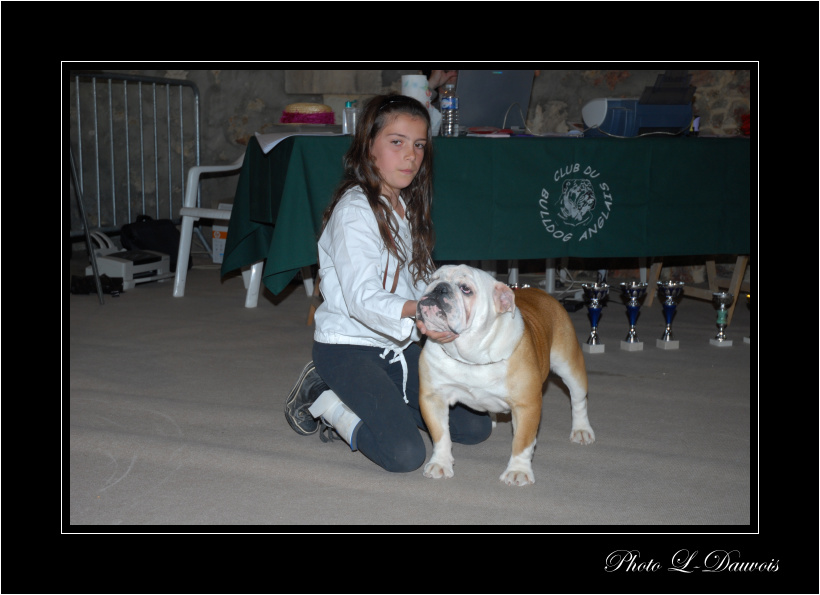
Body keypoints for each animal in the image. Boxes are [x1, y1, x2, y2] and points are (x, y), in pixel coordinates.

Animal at [416, 264, 594, 486]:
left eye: (466, 289)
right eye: (432, 279)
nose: (439, 287)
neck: (471, 355)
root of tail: (544, 294)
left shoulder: (527, 405)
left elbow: (522, 441)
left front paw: (518, 471)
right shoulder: (433, 397)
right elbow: (440, 434)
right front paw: (440, 463)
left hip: (569, 365)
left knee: (578, 400)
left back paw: (581, 430)